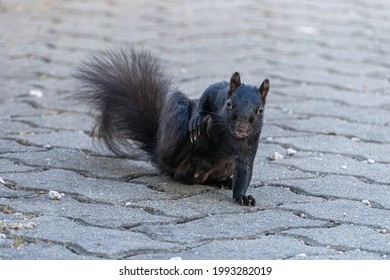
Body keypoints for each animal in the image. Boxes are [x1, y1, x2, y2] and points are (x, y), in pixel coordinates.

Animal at [73, 46, 270, 206]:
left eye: (260, 110)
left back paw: (224, 180)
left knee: (208, 178)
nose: (241, 127)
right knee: (172, 158)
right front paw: (198, 118)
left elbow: (245, 170)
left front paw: (242, 196)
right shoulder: (217, 92)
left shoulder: (249, 146)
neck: (229, 135)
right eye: (229, 103)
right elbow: (205, 96)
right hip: (177, 113)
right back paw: (201, 131)